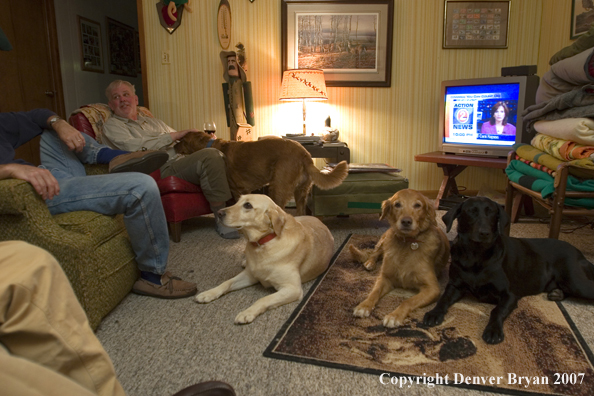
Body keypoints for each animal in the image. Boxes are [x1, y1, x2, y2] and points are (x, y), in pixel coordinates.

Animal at [173, 132, 346, 213]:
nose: (173, 146)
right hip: (301, 192)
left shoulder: (237, 190)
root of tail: (305, 154)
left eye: (182, 141)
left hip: (277, 188)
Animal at [350, 189, 446, 328]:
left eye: (417, 205)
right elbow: (374, 292)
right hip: (385, 240)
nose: (406, 221)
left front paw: (394, 316)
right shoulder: (385, 277)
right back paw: (370, 263)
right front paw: (364, 305)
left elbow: (408, 301)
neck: (407, 242)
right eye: (397, 204)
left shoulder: (432, 289)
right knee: (375, 253)